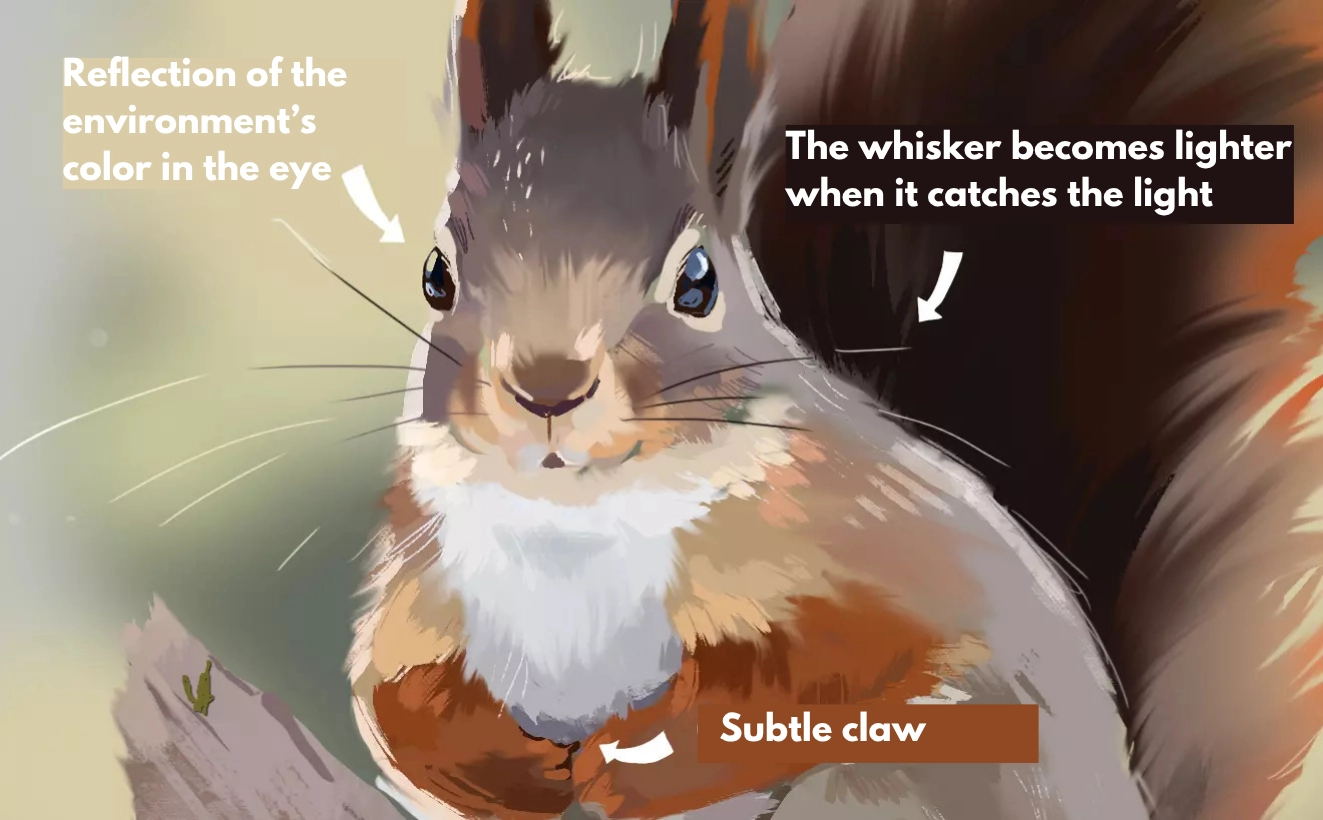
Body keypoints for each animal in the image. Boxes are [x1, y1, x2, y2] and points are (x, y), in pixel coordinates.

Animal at [346, 1, 1323, 819]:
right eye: (436, 276)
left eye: (697, 281)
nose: (546, 389)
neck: (575, 520)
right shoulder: (419, 564)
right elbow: (385, 693)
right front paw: (486, 760)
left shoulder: (885, 540)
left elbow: (862, 668)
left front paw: (653, 756)